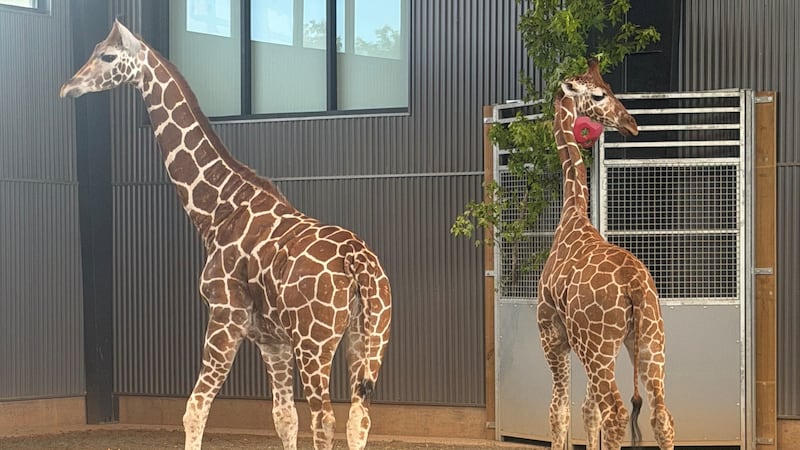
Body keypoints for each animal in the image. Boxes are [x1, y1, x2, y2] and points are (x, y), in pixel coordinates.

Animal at [60, 20, 391, 450]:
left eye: (108, 55)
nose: (68, 87)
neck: (217, 211)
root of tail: (357, 260)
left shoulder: (224, 317)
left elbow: (195, 408)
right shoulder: (271, 340)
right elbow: (284, 418)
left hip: (315, 341)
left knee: (325, 419)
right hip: (366, 336)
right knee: (358, 418)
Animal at [536, 59, 675, 450]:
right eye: (599, 94)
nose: (631, 123)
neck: (572, 214)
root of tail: (635, 288)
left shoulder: (552, 336)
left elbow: (560, 410)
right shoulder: (577, 343)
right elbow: (586, 410)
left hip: (598, 345)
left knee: (615, 411)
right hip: (648, 340)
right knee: (660, 413)